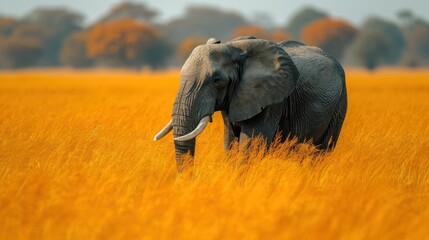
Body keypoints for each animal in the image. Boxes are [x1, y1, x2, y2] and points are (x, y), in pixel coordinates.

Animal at [152, 36, 346, 171]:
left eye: (216, 80)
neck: (235, 48)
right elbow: (230, 144)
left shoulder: (271, 100)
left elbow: (251, 147)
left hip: (339, 104)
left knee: (322, 150)